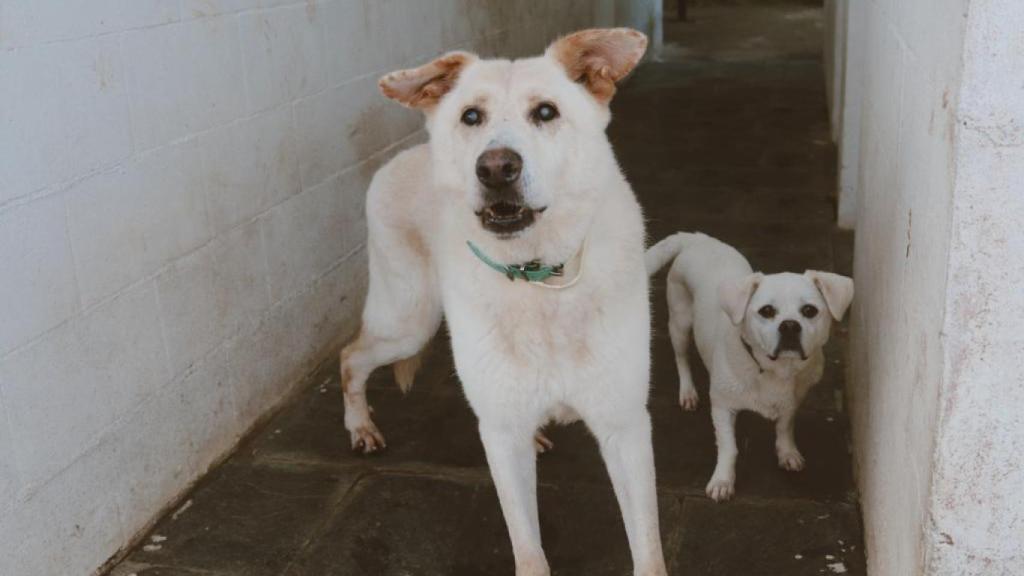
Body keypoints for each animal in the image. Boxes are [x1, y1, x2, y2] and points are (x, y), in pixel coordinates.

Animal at [339, 29, 667, 573]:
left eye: (546, 112)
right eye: (471, 116)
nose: (495, 169)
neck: (538, 278)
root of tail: (399, 158)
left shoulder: (625, 426)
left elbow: (647, 550)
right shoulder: (499, 435)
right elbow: (528, 549)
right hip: (410, 321)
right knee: (350, 356)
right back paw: (360, 428)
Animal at [647, 230, 856, 500]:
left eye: (809, 310)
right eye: (766, 311)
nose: (790, 325)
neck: (776, 371)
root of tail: (697, 239)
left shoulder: (794, 402)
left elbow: (785, 427)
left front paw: (787, 452)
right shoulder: (722, 407)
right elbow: (729, 448)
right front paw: (723, 481)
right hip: (679, 324)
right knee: (681, 358)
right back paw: (688, 392)